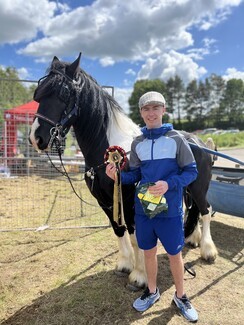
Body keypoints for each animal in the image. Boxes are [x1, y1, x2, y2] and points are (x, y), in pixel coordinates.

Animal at [29, 53, 218, 288]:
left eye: (64, 93)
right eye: (39, 94)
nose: (36, 138)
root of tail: (198, 141)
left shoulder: (129, 201)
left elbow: (136, 237)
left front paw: (140, 276)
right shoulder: (105, 201)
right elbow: (118, 231)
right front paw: (125, 265)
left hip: (200, 187)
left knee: (206, 210)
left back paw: (208, 250)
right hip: (186, 189)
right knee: (194, 211)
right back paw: (192, 239)